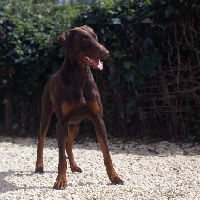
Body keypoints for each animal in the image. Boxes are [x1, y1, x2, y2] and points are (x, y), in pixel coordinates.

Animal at [35, 25, 123, 189]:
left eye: (95, 37)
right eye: (84, 39)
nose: (106, 52)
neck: (79, 75)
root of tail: (52, 76)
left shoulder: (98, 119)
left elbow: (106, 153)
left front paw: (114, 177)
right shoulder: (61, 123)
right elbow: (61, 158)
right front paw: (60, 180)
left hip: (75, 124)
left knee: (68, 145)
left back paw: (74, 166)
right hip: (46, 116)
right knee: (41, 141)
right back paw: (39, 166)